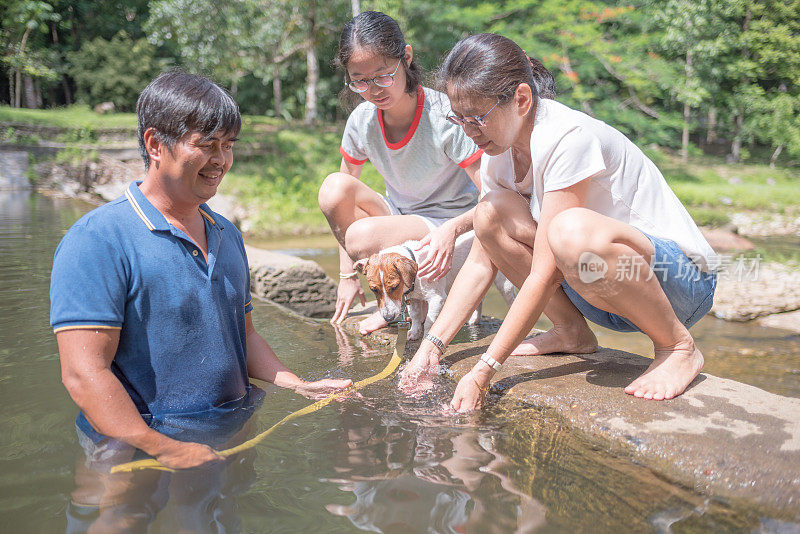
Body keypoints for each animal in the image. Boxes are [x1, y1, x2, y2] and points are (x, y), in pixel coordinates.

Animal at [354, 232, 516, 342]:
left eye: (395, 286)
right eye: (373, 289)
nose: (388, 318)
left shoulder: (437, 299)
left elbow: (429, 322)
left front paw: (425, 337)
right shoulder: (413, 299)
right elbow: (416, 316)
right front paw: (413, 333)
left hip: (504, 284)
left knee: (512, 300)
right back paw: (474, 320)